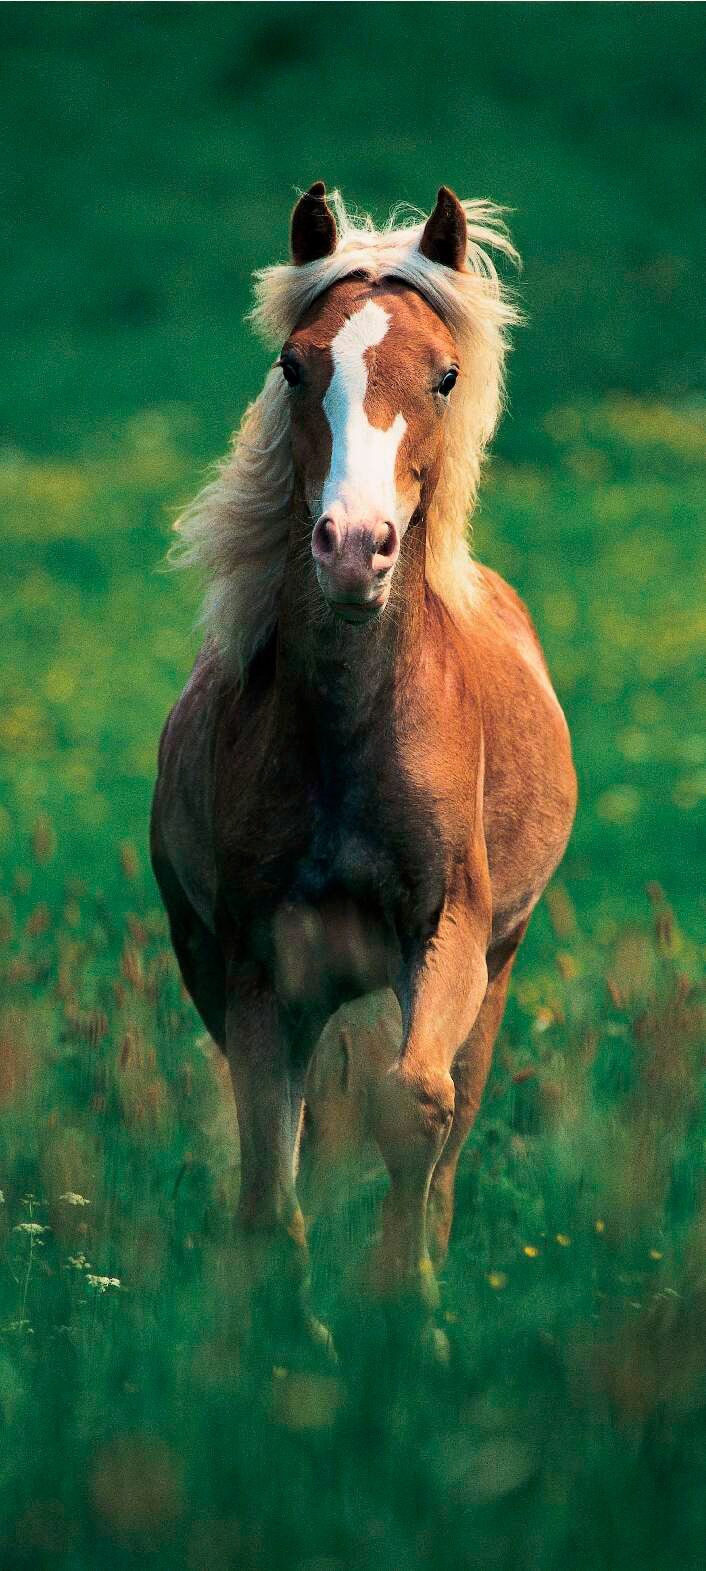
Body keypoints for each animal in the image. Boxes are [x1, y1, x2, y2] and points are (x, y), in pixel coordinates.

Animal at [151, 182, 576, 1353]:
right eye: (294, 365)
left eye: (445, 374)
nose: (352, 547)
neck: (350, 732)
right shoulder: (253, 966)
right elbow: (270, 1163)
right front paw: (294, 1336)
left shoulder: (450, 931)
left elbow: (414, 1107)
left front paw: (411, 1315)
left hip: (497, 969)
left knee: (454, 1119)